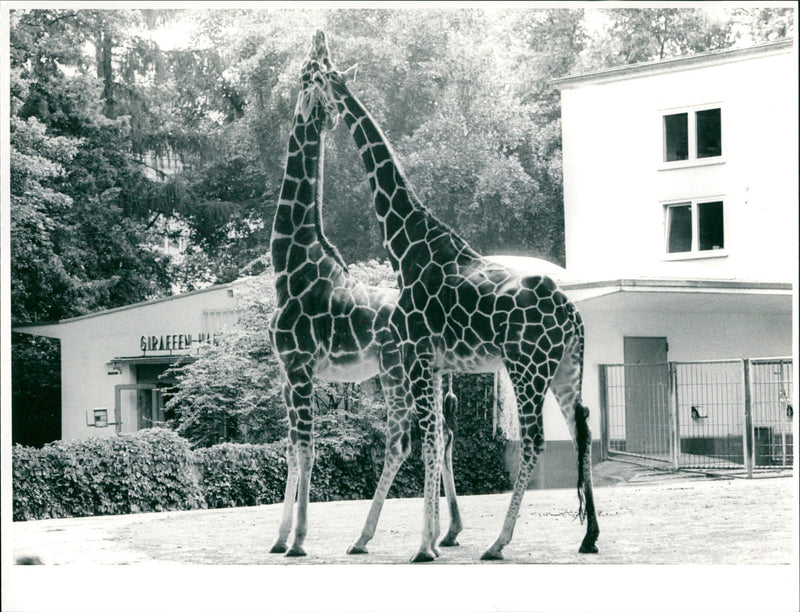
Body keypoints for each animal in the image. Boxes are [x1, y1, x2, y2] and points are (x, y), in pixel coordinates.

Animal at [268, 37, 463, 559]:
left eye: (308, 70)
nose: (318, 33)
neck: (290, 266)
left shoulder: (299, 368)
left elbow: (307, 448)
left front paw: (298, 540)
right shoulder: (287, 371)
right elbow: (290, 449)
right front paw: (279, 537)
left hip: (398, 373)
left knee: (406, 441)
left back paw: (381, 537)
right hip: (422, 375)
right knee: (435, 437)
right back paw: (436, 532)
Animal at [308, 29, 600, 561]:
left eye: (319, 73)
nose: (317, 39)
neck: (406, 244)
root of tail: (572, 315)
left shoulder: (419, 355)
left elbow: (426, 441)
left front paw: (425, 546)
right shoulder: (439, 363)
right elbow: (439, 439)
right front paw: (435, 535)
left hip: (526, 366)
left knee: (533, 441)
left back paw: (498, 542)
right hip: (567, 364)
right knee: (582, 426)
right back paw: (589, 536)